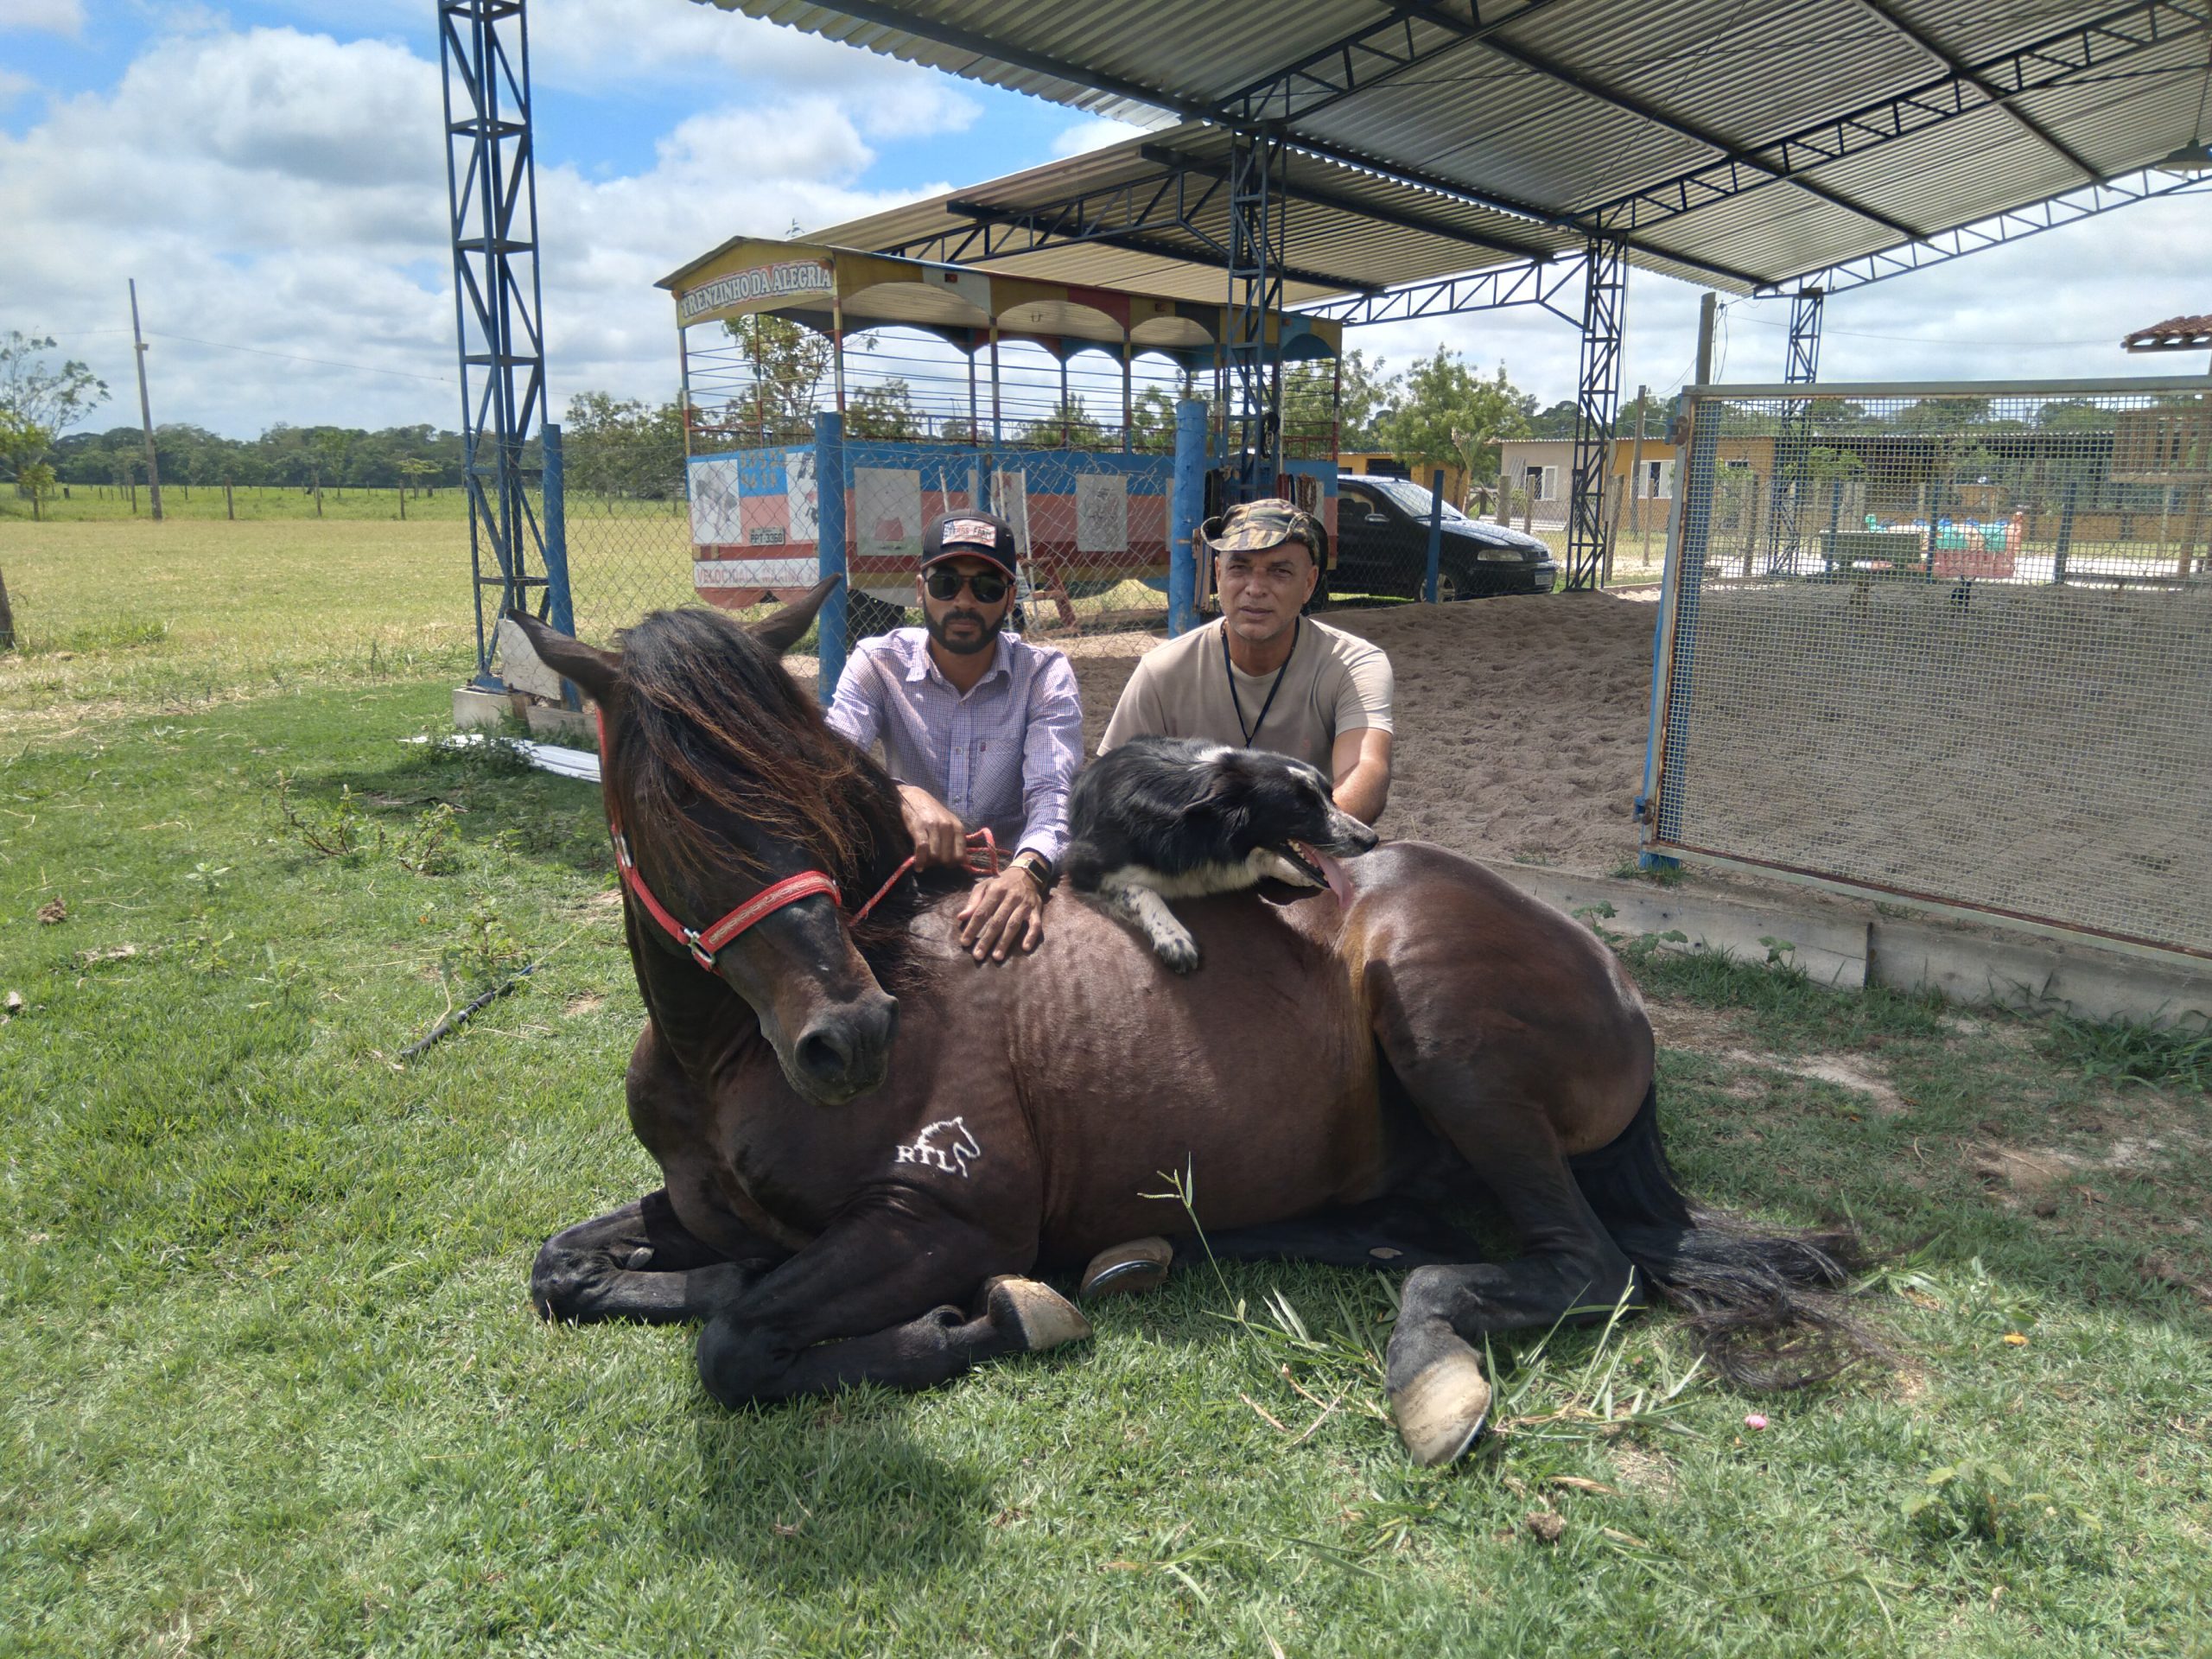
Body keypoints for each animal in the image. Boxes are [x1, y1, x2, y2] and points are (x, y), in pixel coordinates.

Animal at [1057, 739, 1380, 973]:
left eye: (1331, 797)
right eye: (1302, 807)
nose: (1371, 839)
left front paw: (1291, 872)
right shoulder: (1082, 863)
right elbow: (1144, 892)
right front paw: (1173, 936)